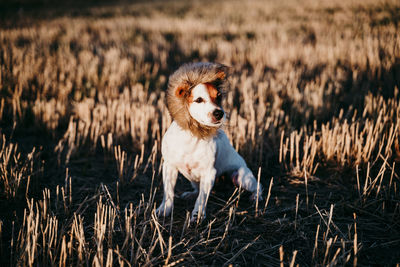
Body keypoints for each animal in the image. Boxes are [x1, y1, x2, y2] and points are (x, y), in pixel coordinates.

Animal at [158, 62, 264, 222]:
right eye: (199, 100)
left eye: (219, 97)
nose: (219, 113)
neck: (193, 135)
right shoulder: (169, 167)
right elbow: (168, 192)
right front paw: (164, 209)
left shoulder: (209, 173)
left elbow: (202, 199)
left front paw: (198, 215)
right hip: (195, 179)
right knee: (197, 189)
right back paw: (190, 194)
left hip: (241, 176)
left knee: (258, 185)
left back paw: (256, 197)